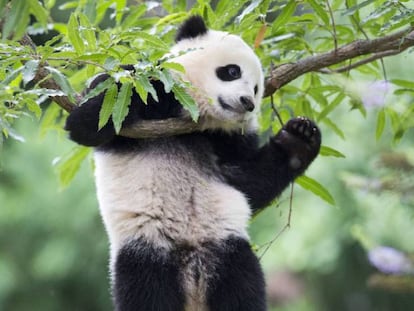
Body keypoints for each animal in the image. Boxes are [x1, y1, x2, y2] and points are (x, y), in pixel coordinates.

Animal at [65, 15, 320, 311]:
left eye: (257, 89)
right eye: (232, 71)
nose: (247, 102)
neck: (198, 121)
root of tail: (192, 278)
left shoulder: (228, 141)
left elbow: (249, 183)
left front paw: (299, 139)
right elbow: (95, 119)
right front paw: (114, 94)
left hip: (227, 250)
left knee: (242, 290)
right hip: (147, 251)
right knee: (148, 293)